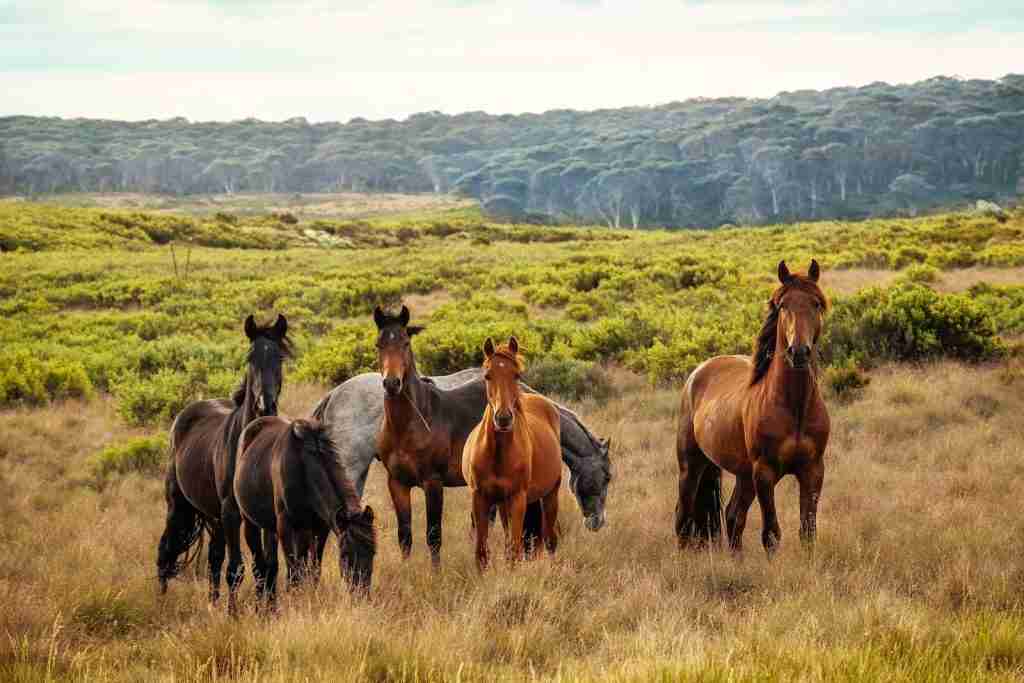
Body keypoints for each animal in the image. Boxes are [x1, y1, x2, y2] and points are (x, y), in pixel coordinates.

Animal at [156, 314, 290, 613]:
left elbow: (268, 565)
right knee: (166, 549)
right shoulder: (232, 512)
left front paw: (269, 610)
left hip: (214, 516)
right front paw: (234, 615)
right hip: (179, 506)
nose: (265, 405)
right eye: (250, 357)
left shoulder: (262, 516)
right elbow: (238, 568)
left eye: (279, 357)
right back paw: (161, 599)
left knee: (214, 559)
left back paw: (212, 603)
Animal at [233, 416, 376, 604]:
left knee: (273, 565)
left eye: (373, 552)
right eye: (345, 555)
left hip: (286, 529)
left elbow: (313, 570)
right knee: (260, 566)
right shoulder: (285, 526)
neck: (304, 467)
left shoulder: (320, 528)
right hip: (251, 522)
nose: (361, 595)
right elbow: (293, 572)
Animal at [463, 337, 562, 570]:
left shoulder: (517, 499)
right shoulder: (480, 497)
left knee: (550, 539)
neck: (498, 454)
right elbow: (481, 551)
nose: (503, 419)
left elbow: (515, 550)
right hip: (502, 503)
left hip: (550, 495)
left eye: (516, 374)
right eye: (487, 375)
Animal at [675, 260, 830, 555]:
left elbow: (808, 532)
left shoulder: (813, 470)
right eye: (783, 306)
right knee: (683, 517)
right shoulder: (764, 473)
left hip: (743, 474)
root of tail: (697, 373)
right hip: (692, 465)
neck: (795, 407)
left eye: (816, 303)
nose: (798, 352)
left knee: (733, 515)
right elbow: (771, 534)